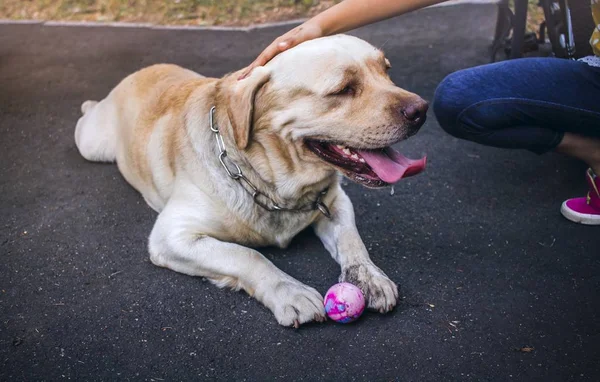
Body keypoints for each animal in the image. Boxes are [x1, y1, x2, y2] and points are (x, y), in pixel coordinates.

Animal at [75, 35, 428, 326]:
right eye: (343, 89)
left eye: (386, 71)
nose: (421, 110)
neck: (275, 183)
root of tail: (137, 72)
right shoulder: (172, 236)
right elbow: (248, 256)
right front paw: (289, 291)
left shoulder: (336, 202)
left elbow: (351, 240)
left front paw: (369, 277)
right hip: (93, 145)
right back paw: (88, 104)